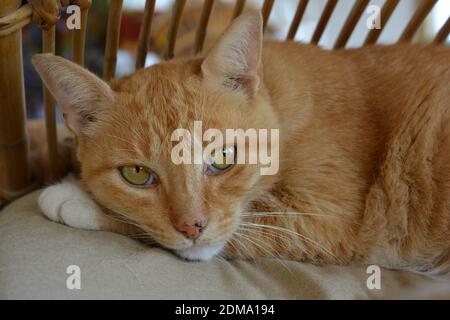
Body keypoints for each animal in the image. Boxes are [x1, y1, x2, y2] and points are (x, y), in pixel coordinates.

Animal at [33, 11, 450, 272]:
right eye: (136, 174)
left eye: (221, 157)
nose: (192, 227)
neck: (279, 106)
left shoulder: (327, 218)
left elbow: (254, 221)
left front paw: (74, 198)